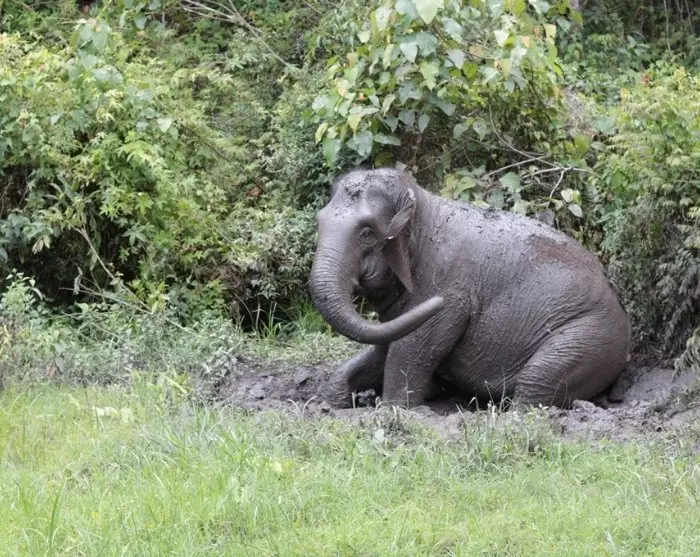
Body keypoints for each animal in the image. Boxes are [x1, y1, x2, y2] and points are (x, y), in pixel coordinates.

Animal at [308, 168, 630, 409]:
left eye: (366, 233)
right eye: (319, 222)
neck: (423, 207)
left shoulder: (450, 291)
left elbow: (410, 346)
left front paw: (394, 409)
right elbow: (383, 346)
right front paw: (331, 403)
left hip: (591, 337)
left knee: (537, 380)